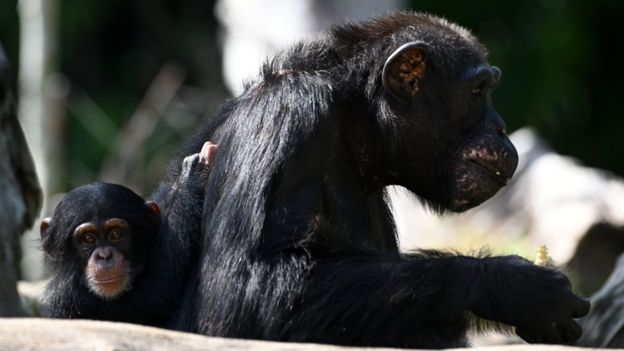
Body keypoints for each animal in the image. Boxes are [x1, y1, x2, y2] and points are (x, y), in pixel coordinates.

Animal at [39, 142, 217, 328]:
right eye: (88, 238)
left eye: (116, 234)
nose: (104, 255)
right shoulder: (76, 299)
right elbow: (157, 288)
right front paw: (189, 177)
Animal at [172, 11, 588, 350]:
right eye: (477, 91)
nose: (500, 127)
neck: (354, 120)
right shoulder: (288, 114)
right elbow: (243, 290)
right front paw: (513, 286)